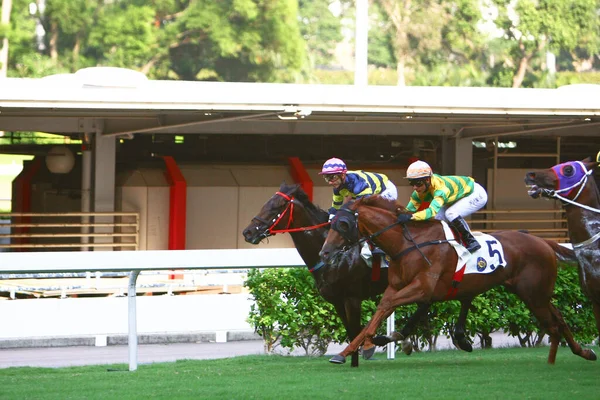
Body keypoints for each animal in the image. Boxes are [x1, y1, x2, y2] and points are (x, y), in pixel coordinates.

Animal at [240, 183, 426, 368]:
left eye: (276, 206)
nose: (247, 232)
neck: (336, 256)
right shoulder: (336, 300)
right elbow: (350, 331)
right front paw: (349, 357)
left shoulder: (352, 297)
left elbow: (355, 330)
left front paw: (357, 357)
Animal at [318, 196, 596, 366]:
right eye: (331, 223)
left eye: (344, 224)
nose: (325, 252)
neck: (408, 243)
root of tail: (544, 241)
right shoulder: (397, 286)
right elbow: (381, 309)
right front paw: (346, 351)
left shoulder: (422, 287)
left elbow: (385, 307)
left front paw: (366, 344)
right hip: (535, 293)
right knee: (559, 319)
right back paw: (581, 352)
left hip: (534, 294)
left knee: (554, 324)